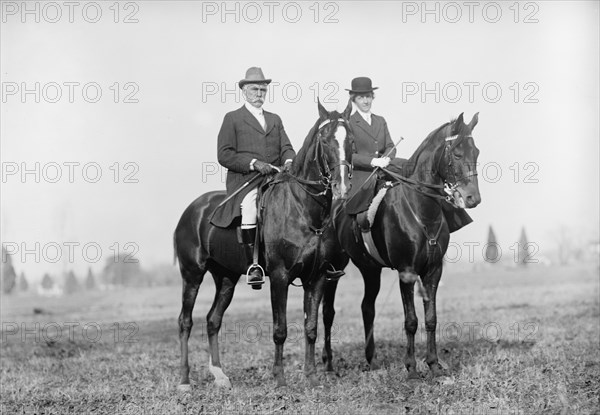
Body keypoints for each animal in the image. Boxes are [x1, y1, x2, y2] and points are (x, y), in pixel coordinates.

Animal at [172, 100, 352, 390]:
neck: (302, 208)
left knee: (213, 320)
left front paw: (312, 376)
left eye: (352, 139)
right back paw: (185, 380)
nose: (342, 186)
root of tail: (192, 209)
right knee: (185, 322)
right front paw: (279, 378)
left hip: (226, 278)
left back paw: (220, 375)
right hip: (192, 275)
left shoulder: (317, 278)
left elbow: (311, 328)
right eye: (325, 139)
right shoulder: (279, 276)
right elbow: (280, 330)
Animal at [322, 112, 480, 378]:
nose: (473, 198)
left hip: (370, 269)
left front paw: (433, 363)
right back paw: (327, 361)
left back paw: (371, 358)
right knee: (327, 310)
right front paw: (412, 367)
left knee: (367, 307)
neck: (421, 209)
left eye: (476, 152)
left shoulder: (433, 271)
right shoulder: (407, 272)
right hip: (332, 270)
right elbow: (412, 320)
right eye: (457, 154)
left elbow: (431, 318)